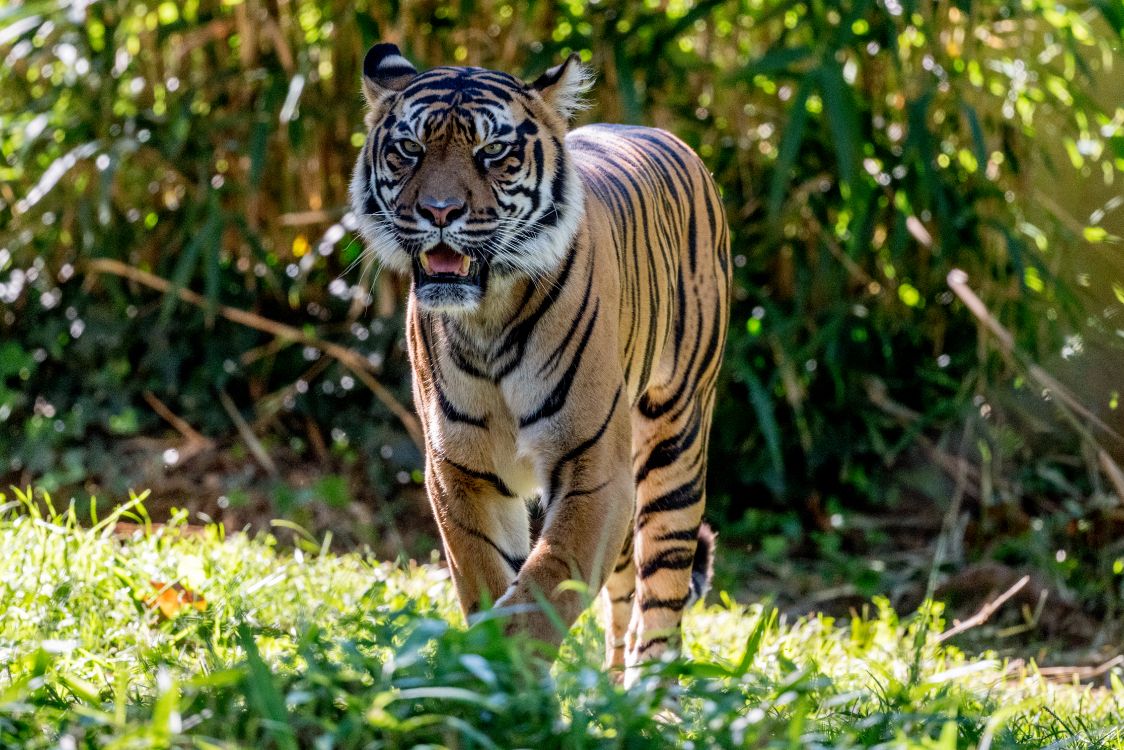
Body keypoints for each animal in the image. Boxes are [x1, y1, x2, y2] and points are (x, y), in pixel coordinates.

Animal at [349, 43, 730, 684]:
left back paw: (654, 696)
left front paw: (511, 676)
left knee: (661, 594)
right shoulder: (461, 471)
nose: (439, 211)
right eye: (410, 149)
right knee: (622, 597)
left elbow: (547, 585)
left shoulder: (593, 469)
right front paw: (486, 677)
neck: (488, 318)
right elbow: (489, 579)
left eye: (492, 152)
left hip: (674, 443)